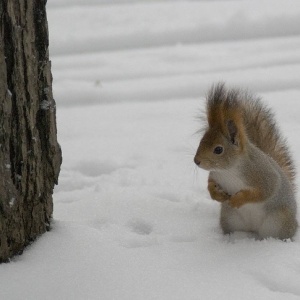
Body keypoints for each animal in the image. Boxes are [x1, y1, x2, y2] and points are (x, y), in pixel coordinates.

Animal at [195, 82, 298, 239]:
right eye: (201, 141)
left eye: (218, 149)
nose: (196, 161)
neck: (228, 170)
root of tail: (253, 230)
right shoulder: (215, 174)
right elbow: (210, 184)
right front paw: (216, 193)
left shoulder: (263, 174)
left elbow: (265, 191)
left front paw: (238, 199)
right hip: (230, 219)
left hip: (279, 221)